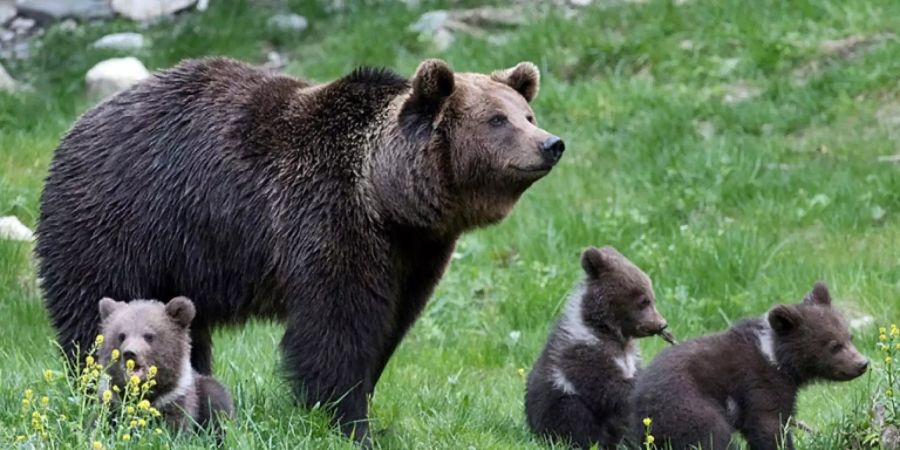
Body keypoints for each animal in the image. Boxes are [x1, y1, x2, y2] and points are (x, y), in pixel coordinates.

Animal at [38, 58, 568, 442]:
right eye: (497, 119)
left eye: (527, 114)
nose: (551, 143)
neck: (388, 197)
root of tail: (75, 127)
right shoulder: (327, 219)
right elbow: (335, 330)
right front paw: (348, 422)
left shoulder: (416, 254)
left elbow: (389, 327)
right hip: (120, 222)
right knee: (93, 308)